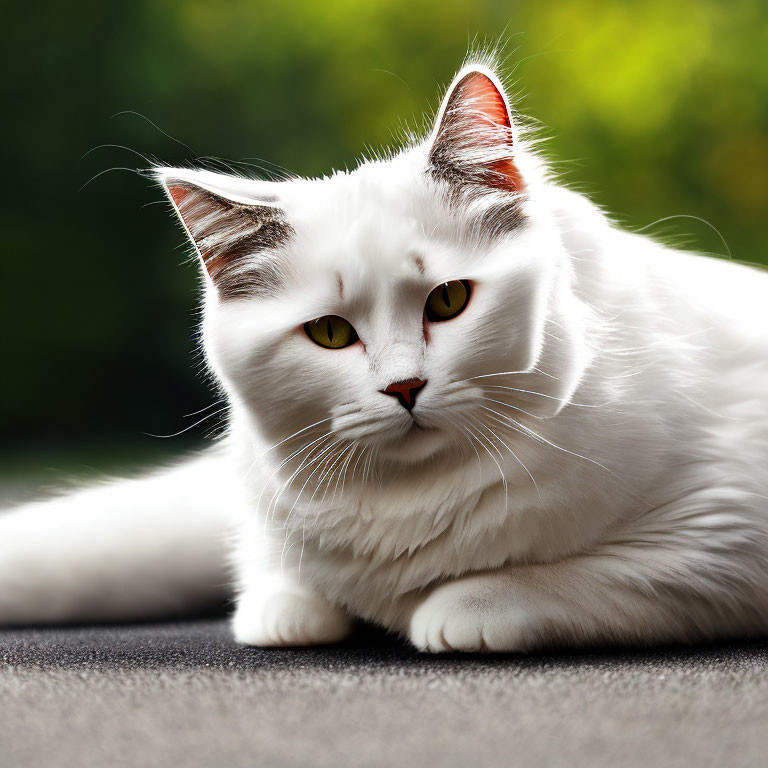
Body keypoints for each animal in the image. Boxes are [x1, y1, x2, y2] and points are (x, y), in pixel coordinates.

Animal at [1, 60, 768, 656]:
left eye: (449, 301)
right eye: (331, 335)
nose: (405, 387)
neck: (411, 502)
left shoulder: (718, 541)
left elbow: (559, 578)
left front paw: (453, 611)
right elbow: (274, 577)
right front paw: (295, 608)